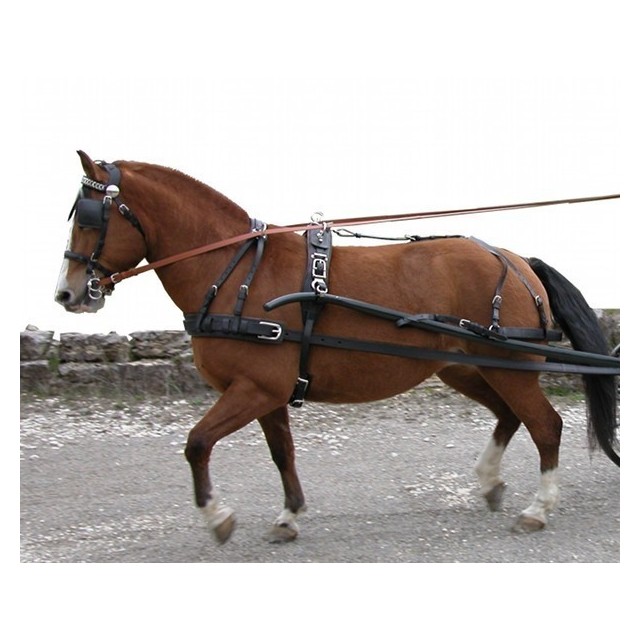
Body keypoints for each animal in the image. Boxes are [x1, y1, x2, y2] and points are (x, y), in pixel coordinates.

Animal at [55, 150, 619, 544]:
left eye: (89, 217)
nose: (68, 293)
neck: (237, 273)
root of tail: (516, 259)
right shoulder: (267, 393)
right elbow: (281, 452)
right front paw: (288, 516)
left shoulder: (255, 388)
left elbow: (197, 443)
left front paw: (218, 517)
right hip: (465, 367)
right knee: (508, 415)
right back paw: (488, 482)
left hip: (509, 365)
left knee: (545, 425)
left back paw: (537, 509)